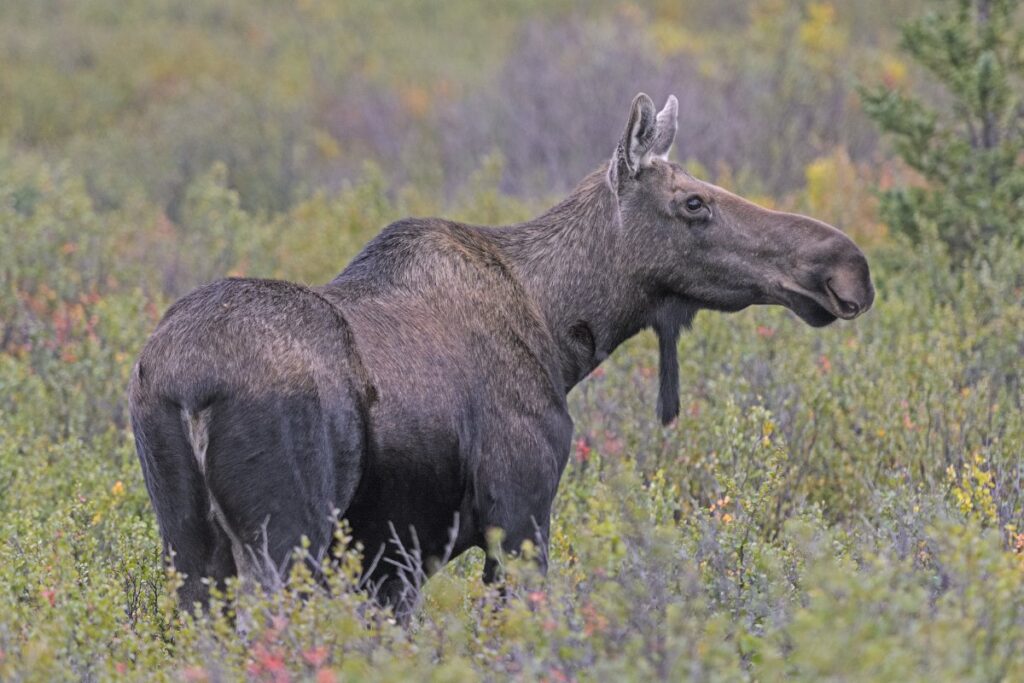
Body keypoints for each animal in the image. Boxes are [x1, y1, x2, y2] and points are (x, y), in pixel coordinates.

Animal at [129, 93, 874, 616]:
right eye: (693, 202)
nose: (846, 267)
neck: (562, 333)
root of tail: (187, 386)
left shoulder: (393, 562)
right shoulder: (519, 511)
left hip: (189, 546)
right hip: (291, 536)